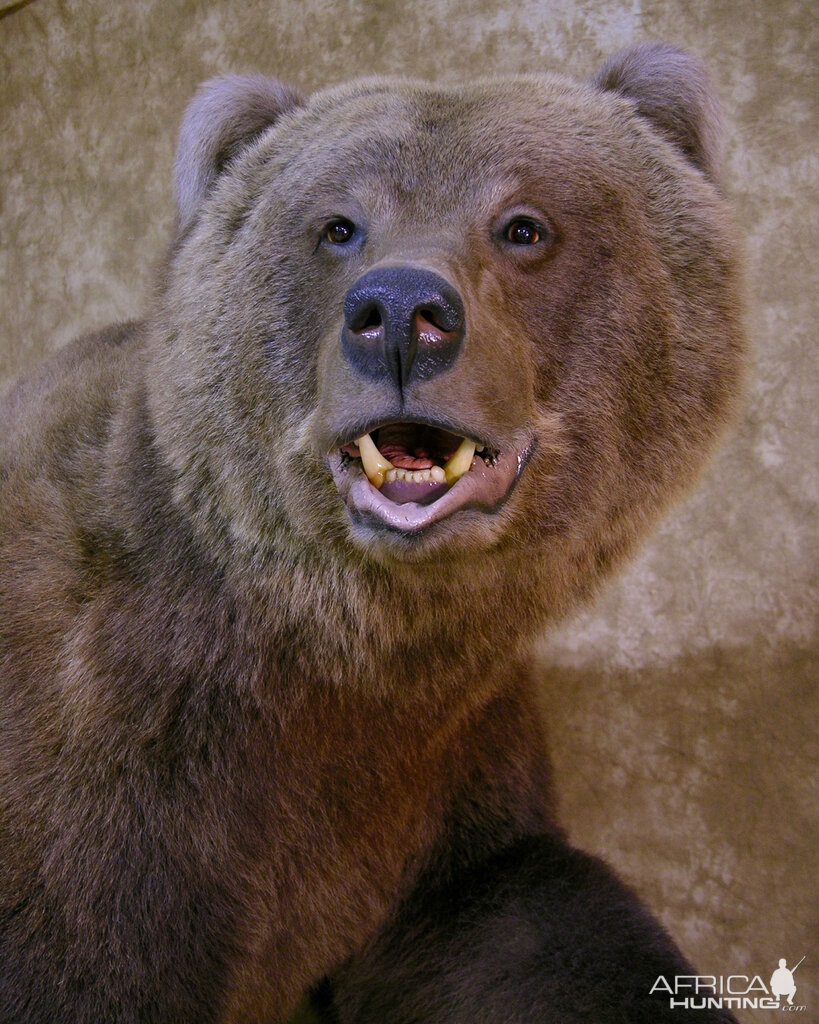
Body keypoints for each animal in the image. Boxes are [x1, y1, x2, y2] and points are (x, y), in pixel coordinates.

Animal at [0, 41, 741, 1024]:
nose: (398, 311)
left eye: (523, 226)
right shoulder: (109, 791)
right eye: (339, 226)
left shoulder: (434, 785)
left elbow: (527, 925)